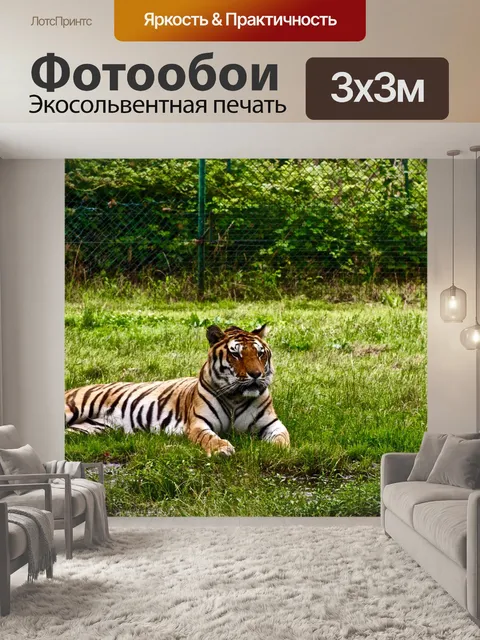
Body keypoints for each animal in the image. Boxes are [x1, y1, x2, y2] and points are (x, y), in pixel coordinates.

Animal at [65, 324, 290, 456]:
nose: (256, 374)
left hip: (89, 429)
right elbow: (210, 438)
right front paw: (223, 448)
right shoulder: (199, 424)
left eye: (260, 353)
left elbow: (282, 437)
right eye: (236, 354)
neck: (236, 398)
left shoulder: (272, 424)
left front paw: (277, 450)